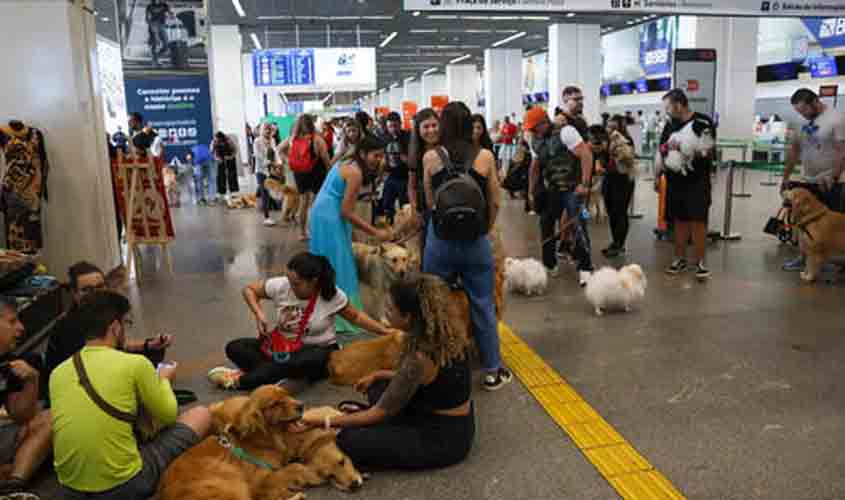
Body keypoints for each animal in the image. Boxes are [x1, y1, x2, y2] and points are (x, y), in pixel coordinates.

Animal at [157, 384, 306, 500]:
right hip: (229, 477)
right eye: (275, 404)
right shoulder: (259, 482)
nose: (301, 406)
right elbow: (292, 468)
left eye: (287, 395)